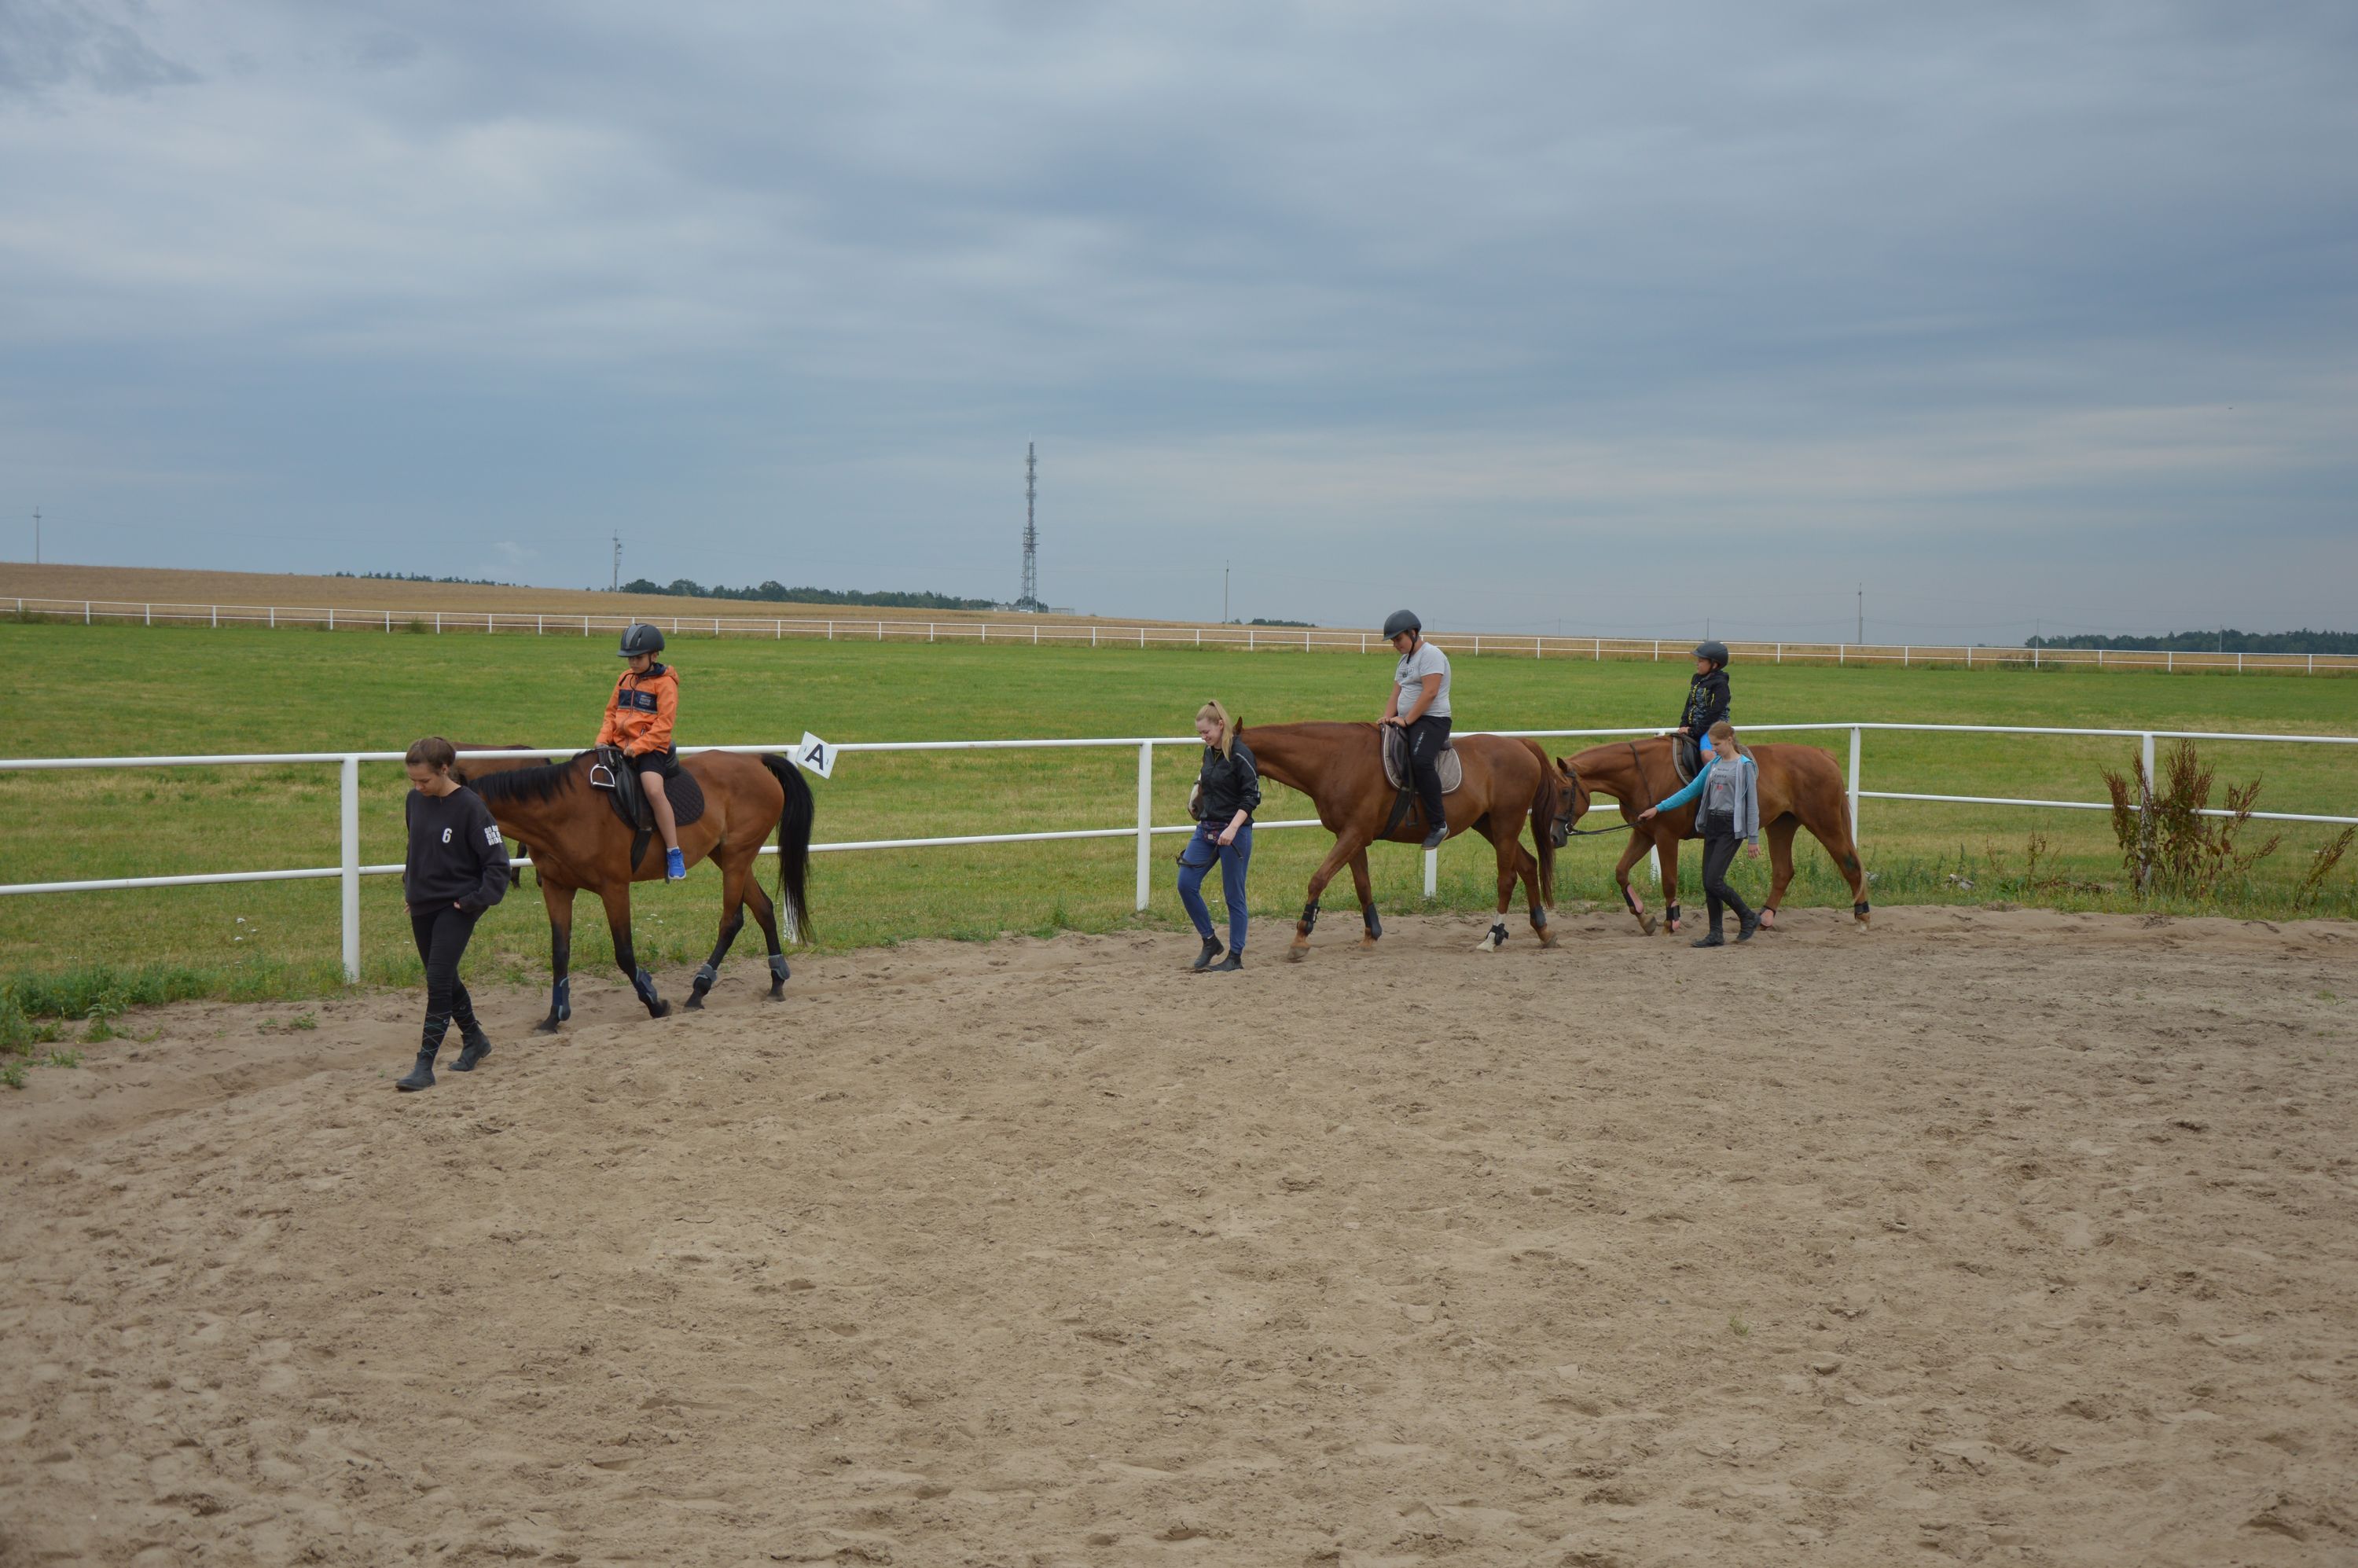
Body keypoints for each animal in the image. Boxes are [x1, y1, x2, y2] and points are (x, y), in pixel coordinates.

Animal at [453, 748, 814, 1029]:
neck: (565, 811)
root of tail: (755, 760)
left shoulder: (614, 888)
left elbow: (624, 953)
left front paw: (654, 1003)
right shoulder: (557, 889)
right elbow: (560, 953)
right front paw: (554, 1017)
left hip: (737, 857)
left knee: (731, 921)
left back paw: (699, 990)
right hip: (726, 856)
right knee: (763, 907)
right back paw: (776, 981)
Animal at [1239, 722, 1564, 958]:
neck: (1337, 760)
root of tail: (1520, 745)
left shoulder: (1354, 834)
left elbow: (1318, 879)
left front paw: (1301, 936)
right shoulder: (1352, 836)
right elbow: (1363, 885)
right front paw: (1371, 935)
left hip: (1506, 823)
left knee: (1506, 878)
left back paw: (1493, 938)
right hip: (1488, 825)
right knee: (1527, 865)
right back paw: (1543, 931)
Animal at [1554, 736, 1867, 935]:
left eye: (1565, 792)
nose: (1555, 836)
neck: (1644, 774)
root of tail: (1821, 753)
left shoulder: (1665, 837)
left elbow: (1669, 881)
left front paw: (1671, 921)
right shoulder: (1644, 834)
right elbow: (1621, 872)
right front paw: (1645, 918)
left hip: (1824, 822)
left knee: (1850, 864)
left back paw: (1862, 914)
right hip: (1782, 825)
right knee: (1783, 872)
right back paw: (1765, 918)